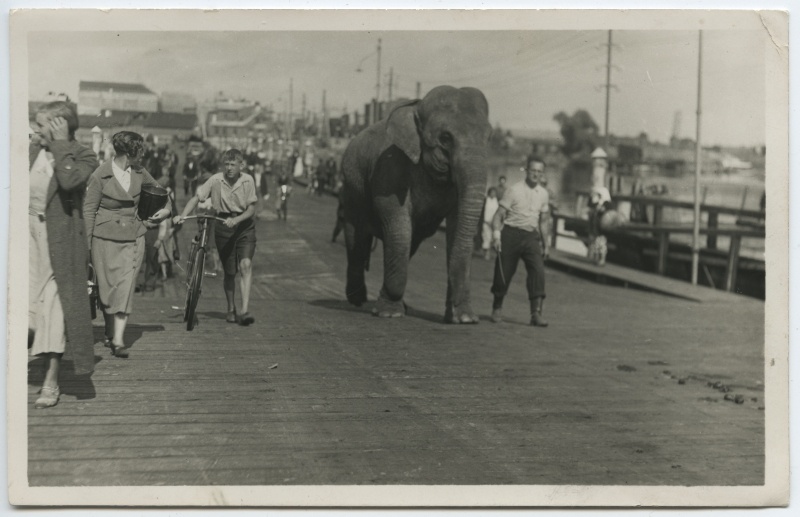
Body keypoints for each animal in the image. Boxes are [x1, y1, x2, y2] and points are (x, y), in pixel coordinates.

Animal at [340, 83, 490, 322]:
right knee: (357, 239)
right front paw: (389, 313)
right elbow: (398, 225)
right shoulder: (390, 166)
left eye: (489, 137)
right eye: (445, 137)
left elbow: (457, 227)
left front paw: (464, 319)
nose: (460, 307)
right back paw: (357, 299)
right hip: (351, 188)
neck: (416, 108)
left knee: (409, 243)